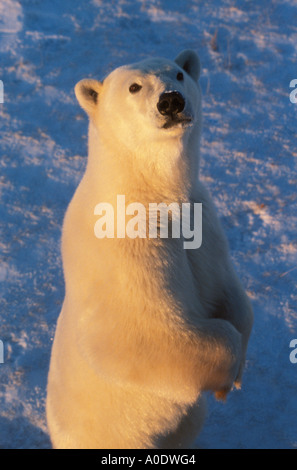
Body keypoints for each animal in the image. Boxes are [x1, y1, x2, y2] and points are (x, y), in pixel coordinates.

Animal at [45, 49, 252, 450]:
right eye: (134, 86)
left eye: (179, 74)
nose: (171, 101)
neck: (151, 189)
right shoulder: (127, 245)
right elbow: (152, 332)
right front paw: (227, 371)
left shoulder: (202, 218)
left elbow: (228, 290)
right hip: (111, 434)